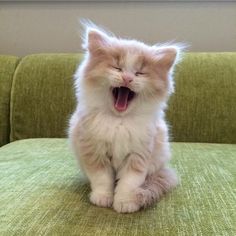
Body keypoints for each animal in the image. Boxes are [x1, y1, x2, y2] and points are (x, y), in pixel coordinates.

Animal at [68, 24, 183, 214]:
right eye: (117, 68)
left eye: (140, 73)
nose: (127, 78)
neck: (119, 122)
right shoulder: (94, 151)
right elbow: (102, 179)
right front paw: (102, 198)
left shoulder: (138, 155)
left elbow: (129, 183)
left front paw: (125, 203)